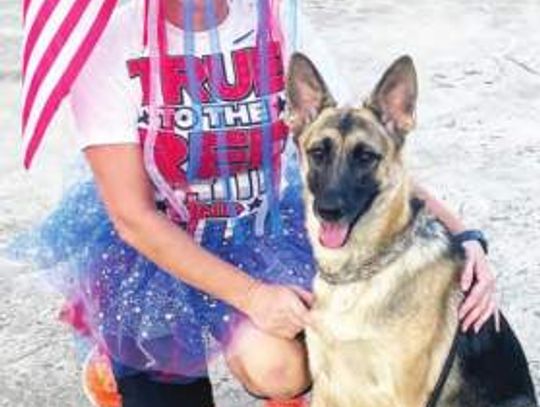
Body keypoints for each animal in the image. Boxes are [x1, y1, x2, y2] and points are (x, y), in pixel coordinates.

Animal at [284, 54, 536, 407]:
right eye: (318, 153)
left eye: (366, 157)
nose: (328, 210)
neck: (360, 275)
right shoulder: (326, 388)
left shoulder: (404, 395)